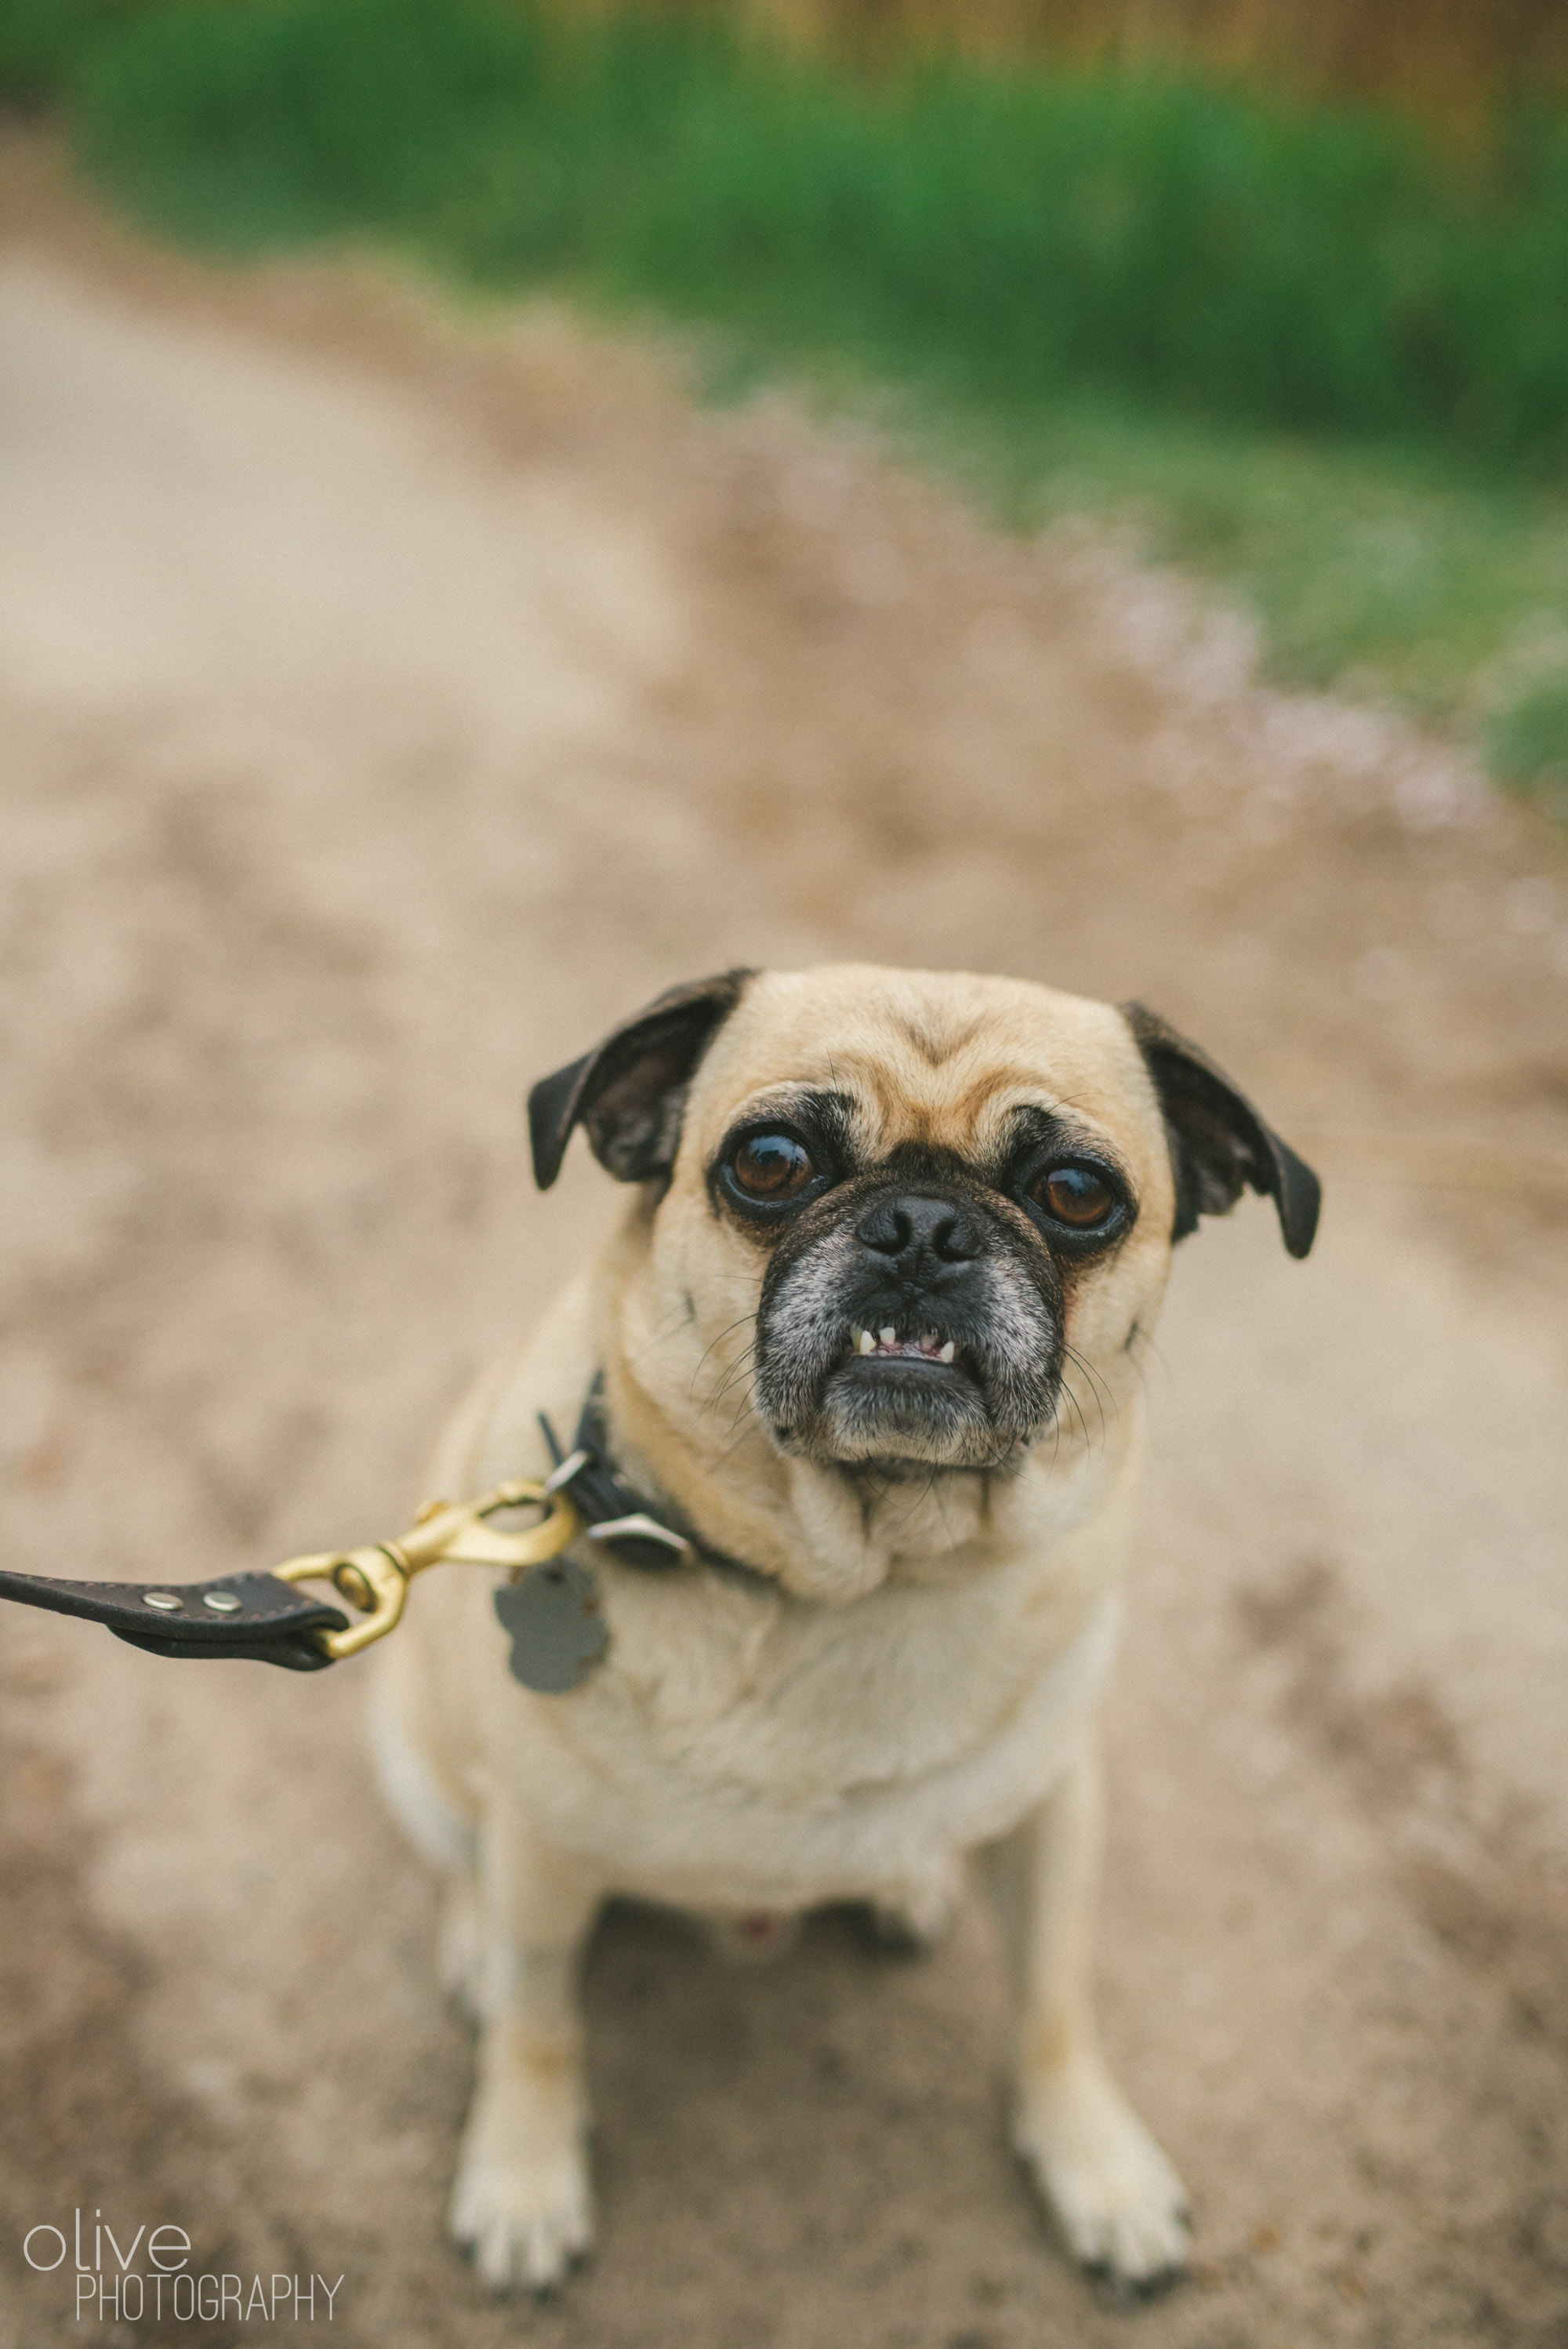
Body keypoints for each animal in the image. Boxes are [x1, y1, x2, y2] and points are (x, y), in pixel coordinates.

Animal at [373, 963, 1314, 2302]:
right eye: (770, 1162)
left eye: (1077, 1194)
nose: (921, 1227)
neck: (858, 1577)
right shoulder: (546, 1858)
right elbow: (541, 2029)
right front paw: (521, 2179)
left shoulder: (1056, 1806)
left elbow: (1055, 2004)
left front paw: (1100, 2168)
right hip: (416, 1752)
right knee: (470, 1869)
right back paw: (472, 1945)